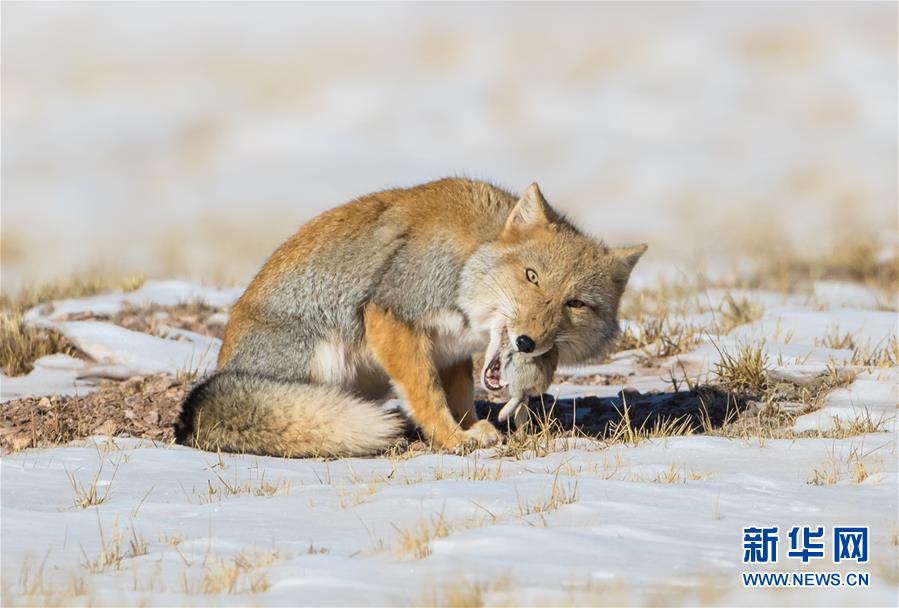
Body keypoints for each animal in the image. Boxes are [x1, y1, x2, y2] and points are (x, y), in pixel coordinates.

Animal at [172, 178, 644, 458]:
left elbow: (459, 396)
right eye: (532, 277)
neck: (467, 259)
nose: (528, 342)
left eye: (575, 303)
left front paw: (470, 428)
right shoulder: (393, 314)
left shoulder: (450, 349)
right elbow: (427, 394)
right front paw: (452, 438)